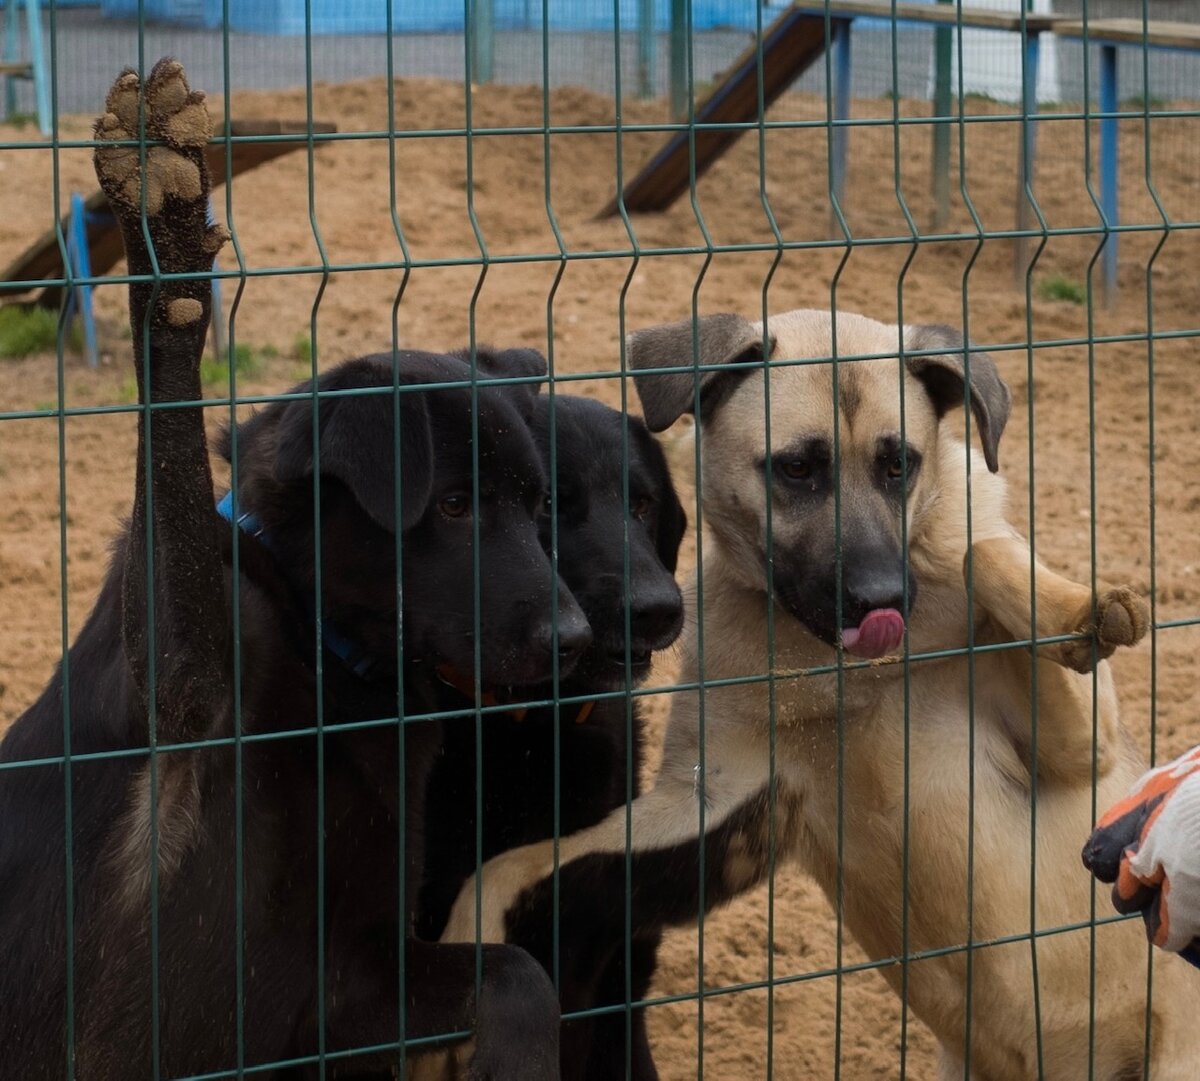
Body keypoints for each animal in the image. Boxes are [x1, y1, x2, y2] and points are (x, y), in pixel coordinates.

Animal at [0, 61, 585, 1079]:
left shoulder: (345, 981)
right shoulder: (181, 676)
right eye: (455, 506)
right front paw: (166, 247)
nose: (580, 640)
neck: (331, 661)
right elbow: (173, 463)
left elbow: (520, 971)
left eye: (539, 505)